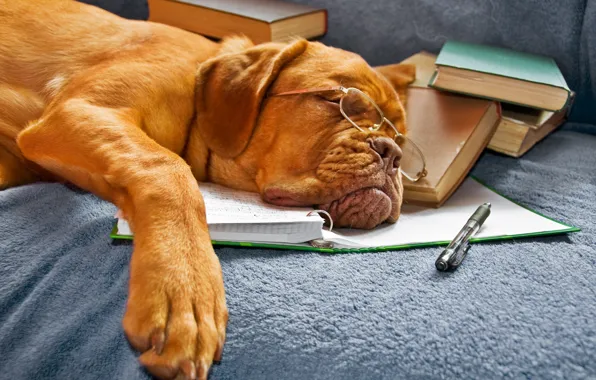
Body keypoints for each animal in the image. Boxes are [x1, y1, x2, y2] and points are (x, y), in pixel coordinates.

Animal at [0, 1, 416, 378]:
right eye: (339, 101)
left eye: (401, 136)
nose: (392, 152)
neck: (199, 94)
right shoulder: (79, 111)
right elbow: (168, 168)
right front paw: (184, 286)